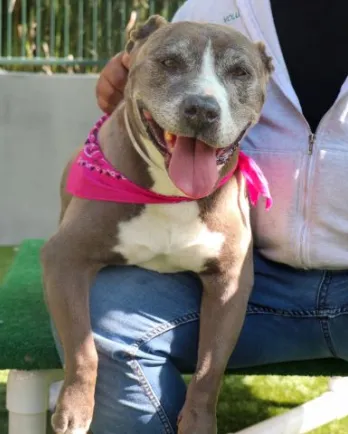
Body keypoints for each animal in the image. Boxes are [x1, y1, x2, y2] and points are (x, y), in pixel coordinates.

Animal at [40, 16, 274, 434]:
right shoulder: (64, 258)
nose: (202, 109)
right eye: (169, 62)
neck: (172, 194)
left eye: (240, 72)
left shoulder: (230, 282)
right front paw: (75, 408)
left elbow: (209, 369)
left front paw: (198, 421)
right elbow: (83, 349)